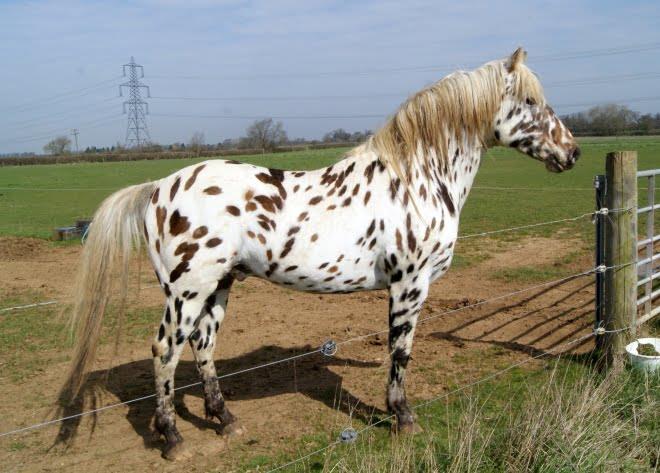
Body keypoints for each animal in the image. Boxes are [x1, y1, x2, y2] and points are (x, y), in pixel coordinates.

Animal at [61, 48, 580, 460]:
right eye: (530, 102)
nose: (571, 153)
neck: (416, 177)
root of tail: (158, 187)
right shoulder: (410, 284)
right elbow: (401, 351)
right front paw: (403, 418)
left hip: (218, 286)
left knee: (203, 347)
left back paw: (225, 420)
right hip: (186, 292)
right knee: (166, 352)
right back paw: (171, 439)